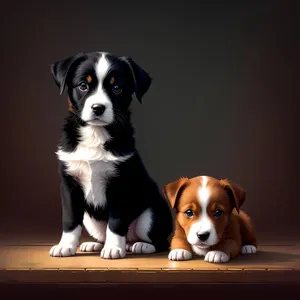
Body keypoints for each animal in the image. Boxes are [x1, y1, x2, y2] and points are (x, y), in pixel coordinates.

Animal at [49, 51, 173, 258]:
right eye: (83, 85)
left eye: (116, 88)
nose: (98, 108)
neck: (95, 134)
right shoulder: (69, 184)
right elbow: (70, 219)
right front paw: (65, 245)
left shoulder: (120, 184)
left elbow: (116, 221)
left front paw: (114, 248)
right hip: (90, 219)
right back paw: (95, 244)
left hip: (151, 215)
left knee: (161, 241)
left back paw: (141, 246)